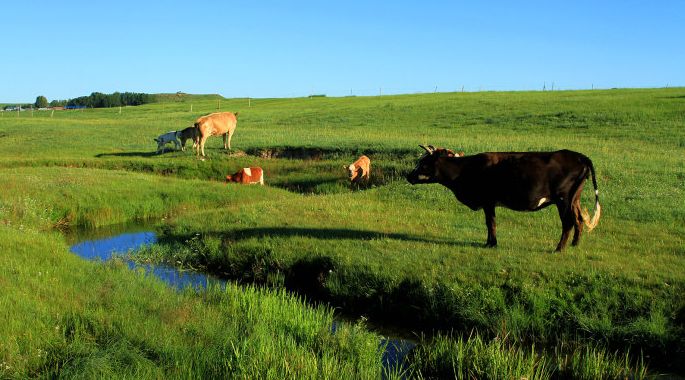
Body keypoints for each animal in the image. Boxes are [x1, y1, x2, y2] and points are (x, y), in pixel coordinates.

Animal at [406, 144, 600, 251]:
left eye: (423, 163)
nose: (408, 176)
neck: (465, 170)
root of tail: (580, 156)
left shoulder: (487, 201)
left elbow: (490, 222)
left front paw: (491, 244)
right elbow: (490, 223)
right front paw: (489, 243)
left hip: (563, 199)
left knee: (568, 222)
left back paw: (559, 249)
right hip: (575, 199)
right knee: (578, 219)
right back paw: (574, 244)